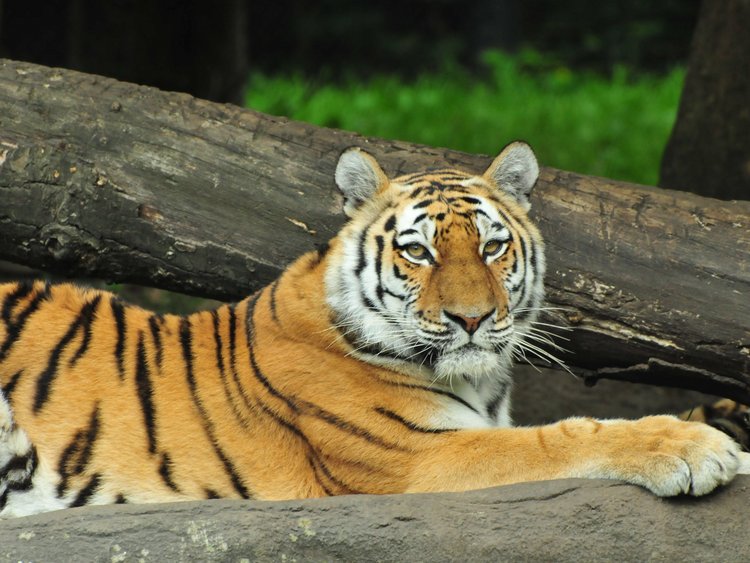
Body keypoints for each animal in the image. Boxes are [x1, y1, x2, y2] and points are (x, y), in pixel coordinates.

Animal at [0, 141, 746, 518]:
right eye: (418, 252)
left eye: (492, 246)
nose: (471, 318)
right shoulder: (419, 456)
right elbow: (561, 437)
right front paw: (693, 447)